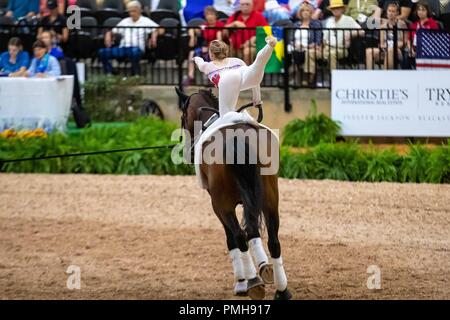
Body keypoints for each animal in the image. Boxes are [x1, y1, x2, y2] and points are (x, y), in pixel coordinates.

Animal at [176, 87, 292, 300]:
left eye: (182, 116)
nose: (188, 152)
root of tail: (238, 137)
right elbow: (253, 231)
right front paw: (264, 266)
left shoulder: (217, 205)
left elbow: (232, 238)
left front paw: (241, 282)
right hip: (271, 198)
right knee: (272, 239)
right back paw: (282, 290)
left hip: (222, 204)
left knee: (238, 236)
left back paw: (253, 282)